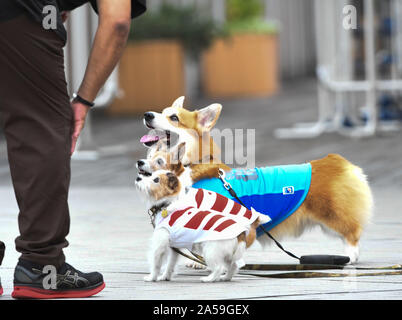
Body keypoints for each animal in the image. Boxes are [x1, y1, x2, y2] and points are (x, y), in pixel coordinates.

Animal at [135, 169, 270, 282]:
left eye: (156, 180)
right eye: (151, 174)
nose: (138, 178)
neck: (167, 204)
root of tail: (241, 233)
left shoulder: (159, 246)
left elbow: (156, 264)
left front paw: (152, 277)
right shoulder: (174, 248)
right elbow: (170, 265)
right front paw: (165, 276)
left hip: (210, 252)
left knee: (219, 267)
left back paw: (209, 279)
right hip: (228, 255)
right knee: (233, 266)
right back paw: (225, 278)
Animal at [140, 97, 376, 262]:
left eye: (174, 118)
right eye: (161, 112)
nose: (147, 114)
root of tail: (335, 160)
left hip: (331, 213)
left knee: (351, 233)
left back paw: (350, 257)